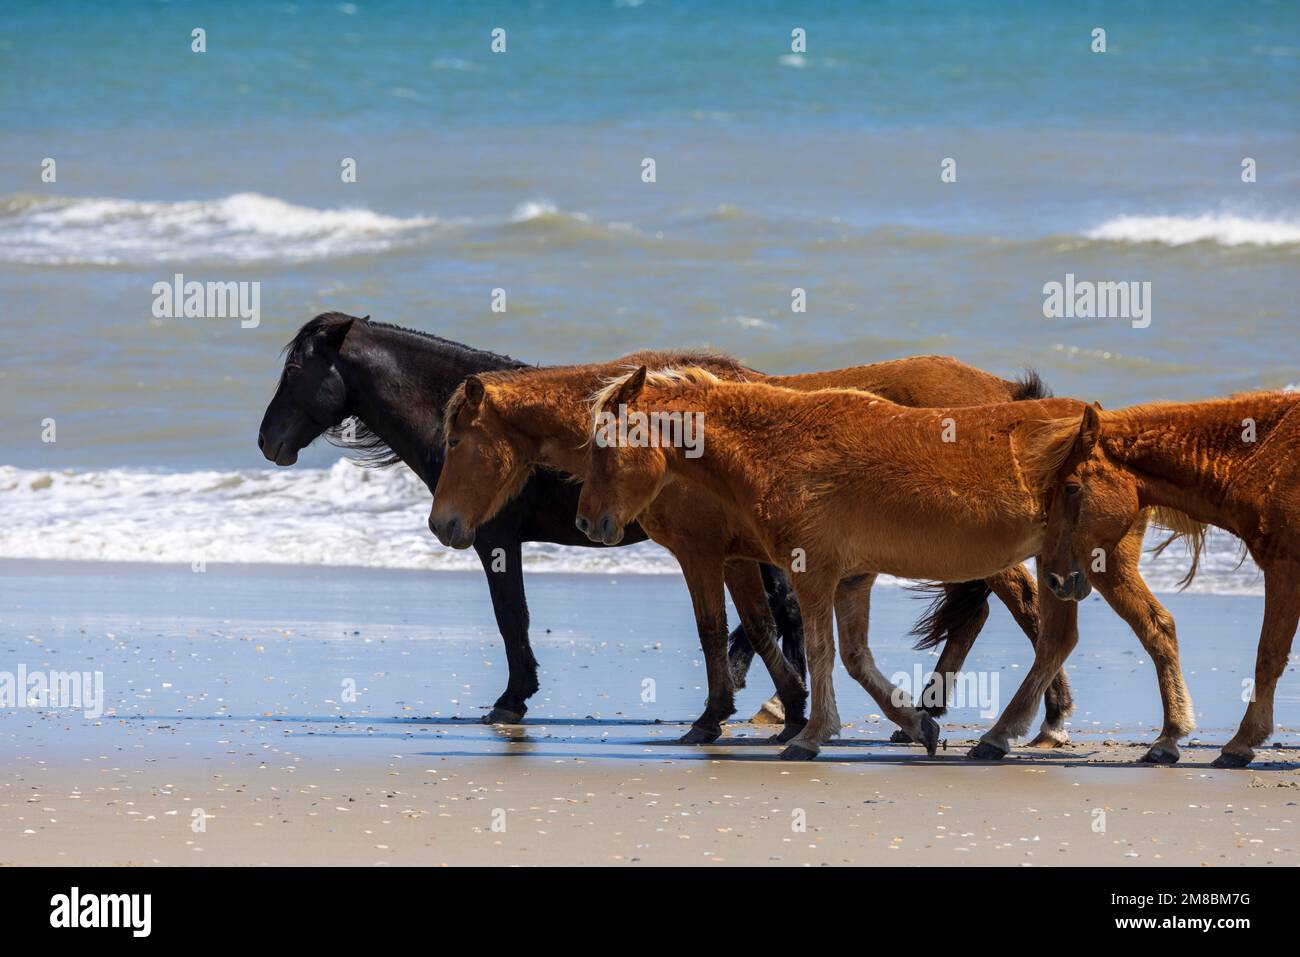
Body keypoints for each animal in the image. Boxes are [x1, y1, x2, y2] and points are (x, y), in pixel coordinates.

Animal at [256, 312, 802, 724]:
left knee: (784, 608)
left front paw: (511, 699)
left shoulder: (494, 537)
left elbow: (510, 615)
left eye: (296, 370)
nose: (267, 441)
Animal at [429, 354, 1069, 749]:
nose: (442, 525)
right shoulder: (740, 556)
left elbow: (716, 629)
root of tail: (1006, 393)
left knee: (1028, 611)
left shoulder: (702, 553)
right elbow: (760, 628)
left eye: (456, 440)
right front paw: (790, 712)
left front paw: (714, 719)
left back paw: (1043, 722)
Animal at [575, 366, 1180, 762]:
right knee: (1058, 639)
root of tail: (1113, 436)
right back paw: (1005, 735)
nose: (586, 522)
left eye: (606, 445)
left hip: (1096, 564)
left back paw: (1163, 738)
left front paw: (810, 735)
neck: (781, 442)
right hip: (1063, 570)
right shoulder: (851, 579)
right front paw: (917, 724)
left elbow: (820, 653)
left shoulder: (811, 573)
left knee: (1150, 629)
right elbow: (854, 659)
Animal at [1031, 393, 1300, 768]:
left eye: (1070, 488)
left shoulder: (1284, 569)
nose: (1053, 579)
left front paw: (1241, 742)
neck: (1271, 454)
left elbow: (1268, 655)